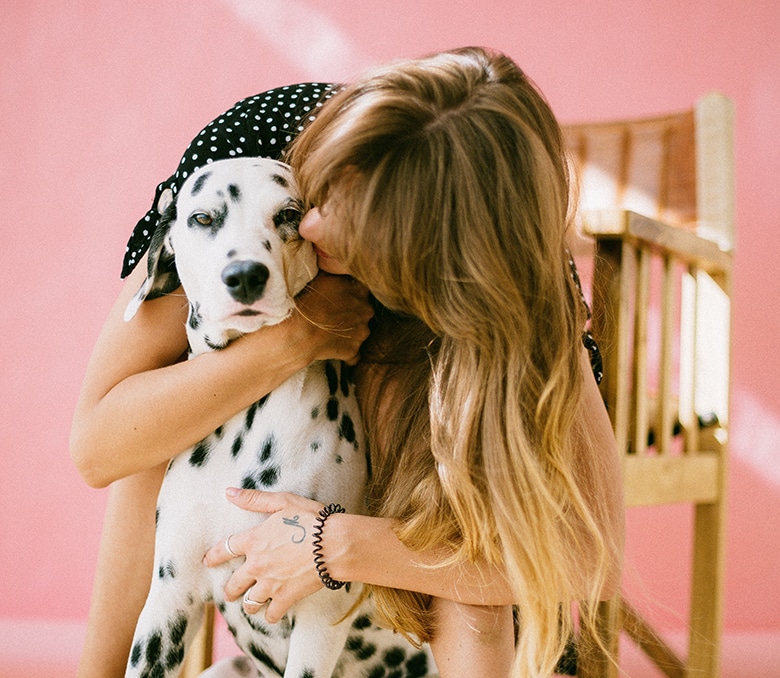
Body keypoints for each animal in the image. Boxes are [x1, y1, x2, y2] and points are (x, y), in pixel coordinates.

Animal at [125, 159, 436, 678]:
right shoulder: (168, 601)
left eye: (289, 214)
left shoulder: (318, 615)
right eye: (203, 218)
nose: (245, 275)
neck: (248, 429)